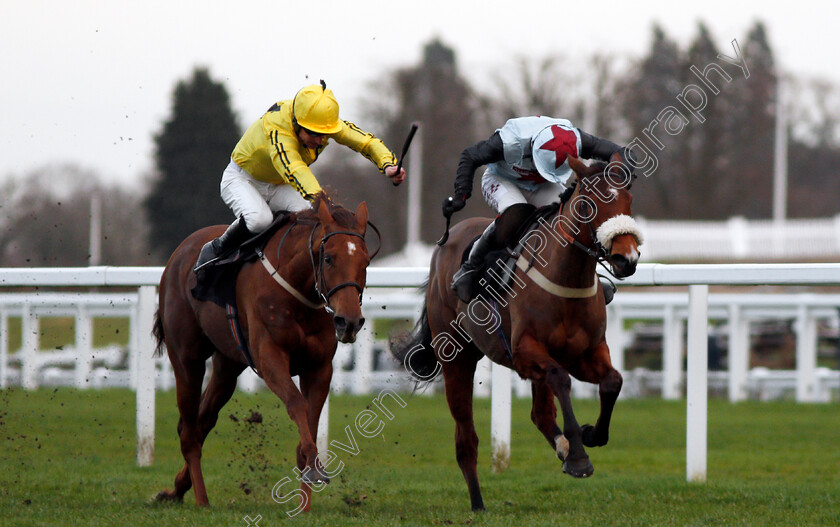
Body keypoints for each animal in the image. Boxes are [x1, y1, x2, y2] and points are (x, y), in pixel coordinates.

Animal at [152, 195, 374, 512]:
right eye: (328, 258)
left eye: (365, 261)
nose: (350, 321)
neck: (297, 291)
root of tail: (180, 252)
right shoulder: (270, 357)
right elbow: (297, 404)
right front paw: (314, 469)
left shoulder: (319, 367)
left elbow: (311, 419)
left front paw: (306, 500)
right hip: (186, 360)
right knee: (189, 432)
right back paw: (201, 499)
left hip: (227, 366)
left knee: (202, 421)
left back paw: (177, 489)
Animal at [394, 155, 644, 510]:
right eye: (589, 204)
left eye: (629, 200)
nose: (627, 258)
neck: (566, 278)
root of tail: (446, 242)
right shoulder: (527, 352)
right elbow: (560, 378)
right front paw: (578, 456)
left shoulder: (587, 352)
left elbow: (613, 381)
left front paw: (589, 436)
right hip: (457, 358)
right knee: (465, 437)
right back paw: (478, 502)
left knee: (540, 414)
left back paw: (561, 446)